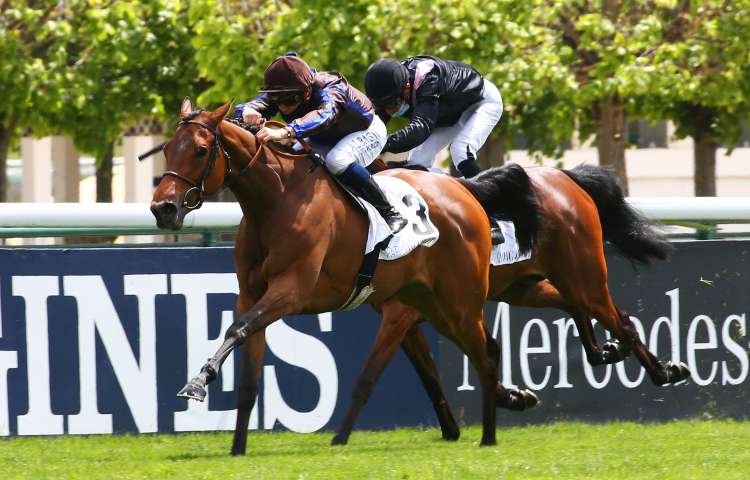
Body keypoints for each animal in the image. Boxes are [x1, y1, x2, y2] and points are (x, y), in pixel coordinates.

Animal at [150, 98, 540, 453]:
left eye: (201, 150)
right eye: (168, 149)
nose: (162, 208)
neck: (277, 198)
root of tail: (465, 191)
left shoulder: (291, 291)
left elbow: (237, 329)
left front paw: (197, 384)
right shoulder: (250, 294)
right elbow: (246, 370)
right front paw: (236, 448)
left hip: (458, 303)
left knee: (485, 356)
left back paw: (489, 436)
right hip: (430, 304)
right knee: (485, 348)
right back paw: (505, 407)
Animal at [329, 162, 692, 446]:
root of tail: (565, 176)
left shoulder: (404, 314)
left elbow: (374, 371)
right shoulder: (412, 318)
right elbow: (431, 376)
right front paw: (468, 420)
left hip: (582, 276)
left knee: (618, 318)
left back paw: (662, 370)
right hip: (525, 286)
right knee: (578, 307)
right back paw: (607, 351)